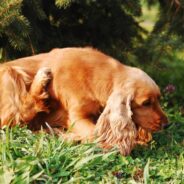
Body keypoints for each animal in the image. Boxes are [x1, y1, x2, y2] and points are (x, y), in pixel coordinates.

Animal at [0, 47, 168, 155]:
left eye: (158, 99)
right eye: (146, 103)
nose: (167, 124)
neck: (99, 76)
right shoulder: (76, 117)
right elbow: (95, 134)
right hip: (9, 75)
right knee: (16, 117)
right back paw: (41, 80)